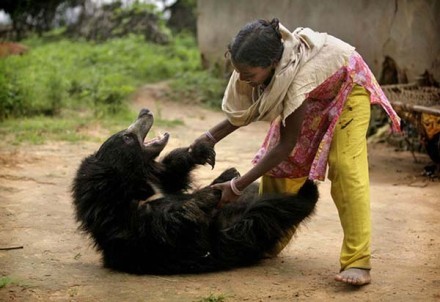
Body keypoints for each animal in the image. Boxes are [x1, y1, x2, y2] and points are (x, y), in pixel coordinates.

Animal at [73, 108, 320, 274]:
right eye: (126, 137)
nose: (145, 111)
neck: (136, 180)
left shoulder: (158, 181)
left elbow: (174, 176)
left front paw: (203, 153)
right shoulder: (134, 225)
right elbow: (175, 220)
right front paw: (214, 191)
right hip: (238, 233)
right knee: (272, 211)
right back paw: (309, 190)